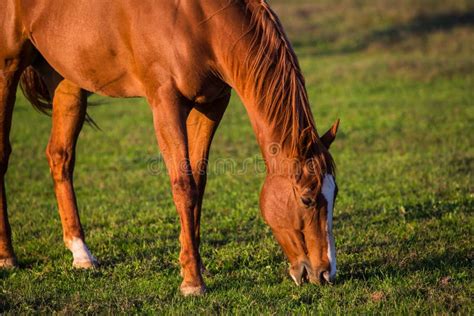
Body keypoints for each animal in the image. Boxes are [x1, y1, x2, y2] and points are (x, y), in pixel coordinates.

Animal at [0, 0, 340, 296]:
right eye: (307, 199)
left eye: (334, 194)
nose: (326, 273)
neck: (199, 20)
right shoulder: (166, 103)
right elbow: (183, 185)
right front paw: (192, 282)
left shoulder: (212, 104)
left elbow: (198, 182)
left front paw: (194, 264)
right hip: (8, 68)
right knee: (4, 154)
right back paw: (7, 255)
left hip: (69, 77)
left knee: (60, 156)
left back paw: (80, 253)